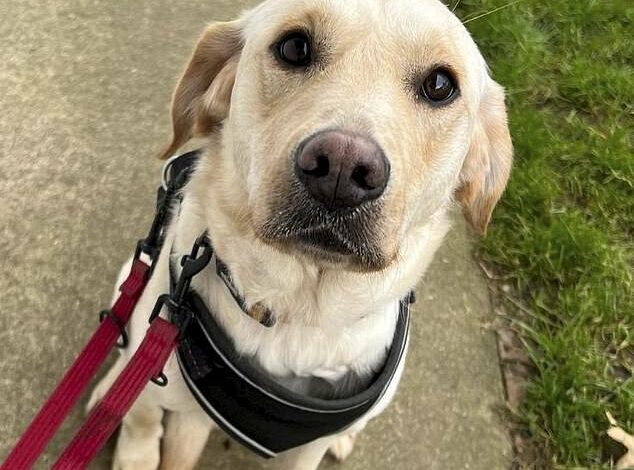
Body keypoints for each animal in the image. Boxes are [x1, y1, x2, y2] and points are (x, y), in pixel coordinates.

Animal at [91, 0, 512, 468]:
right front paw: (135, 451)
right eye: (294, 47)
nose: (342, 169)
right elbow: (141, 412)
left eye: (440, 85)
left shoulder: (304, 449)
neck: (295, 310)